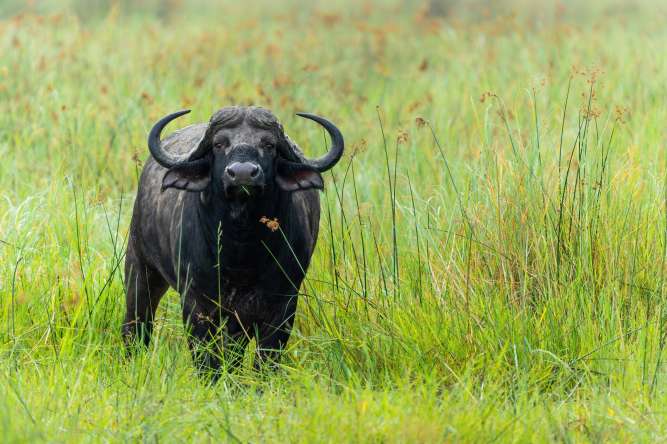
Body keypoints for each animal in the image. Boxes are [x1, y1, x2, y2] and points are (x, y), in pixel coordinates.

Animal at [122, 106, 343, 377]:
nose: (242, 174)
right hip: (140, 267)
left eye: (269, 144)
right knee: (137, 323)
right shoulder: (197, 303)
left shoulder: (282, 304)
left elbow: (265, 359)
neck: (240, 250)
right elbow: (206, 357)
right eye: (219, 144)